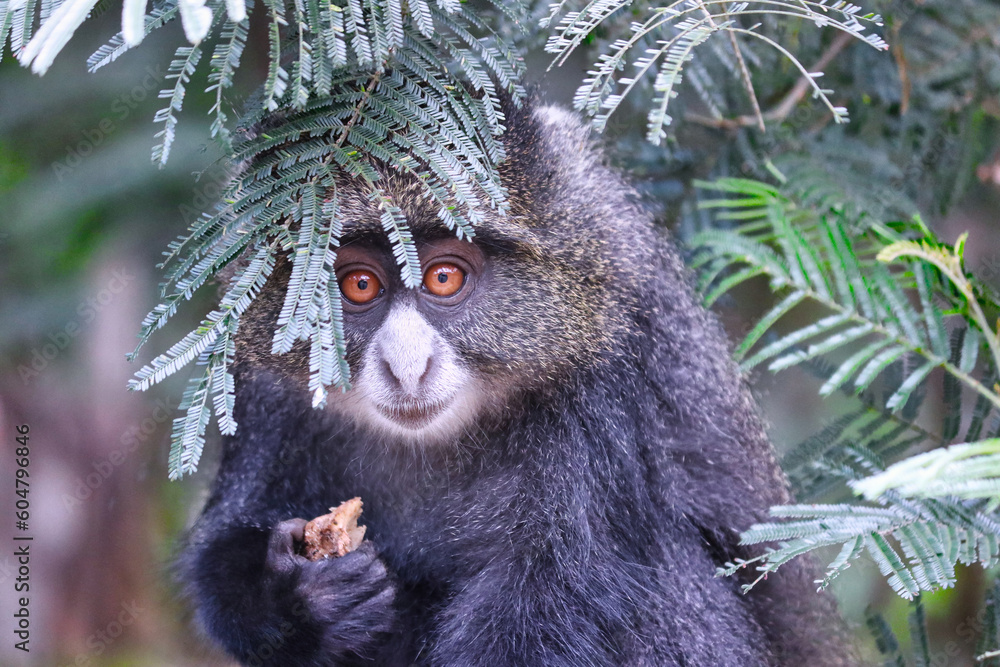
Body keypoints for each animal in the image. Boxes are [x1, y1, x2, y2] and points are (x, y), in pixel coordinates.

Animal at [177, 98, 856, 666]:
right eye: (359, 285)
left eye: (444, 277)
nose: (407, 367)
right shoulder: (258, 387)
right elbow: (223, 543)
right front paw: (301, 596)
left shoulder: (603, 386)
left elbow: (548, 610)